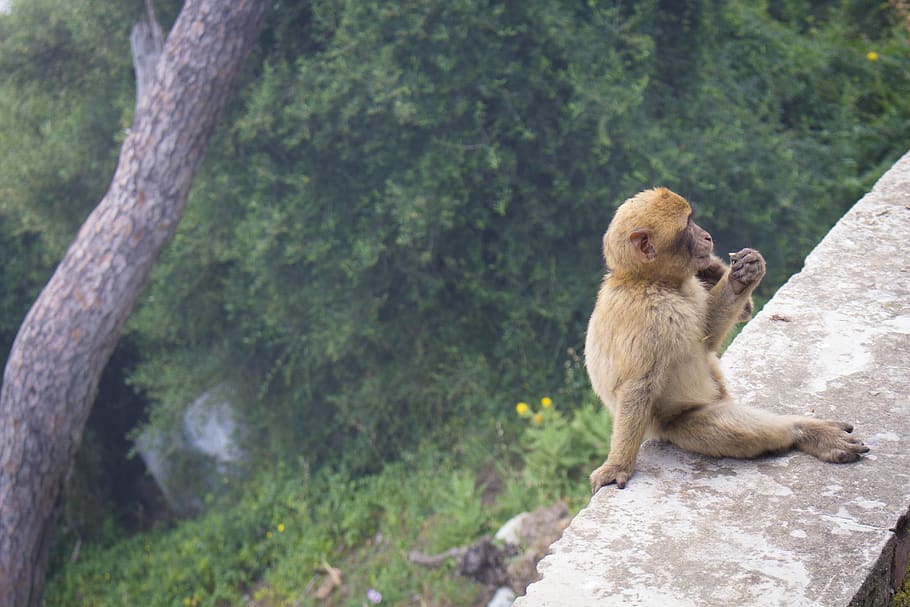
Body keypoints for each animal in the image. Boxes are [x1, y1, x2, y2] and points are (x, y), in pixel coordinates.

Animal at [584, 187, 868, 491]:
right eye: (688, 225)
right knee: (727, 429)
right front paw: (617, 466)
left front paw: (740, 275)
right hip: (673, 424)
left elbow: (706, 336)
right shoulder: (649, 316)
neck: (651, 281)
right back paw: (801, 431)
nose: (707, 236)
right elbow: (639, 385)